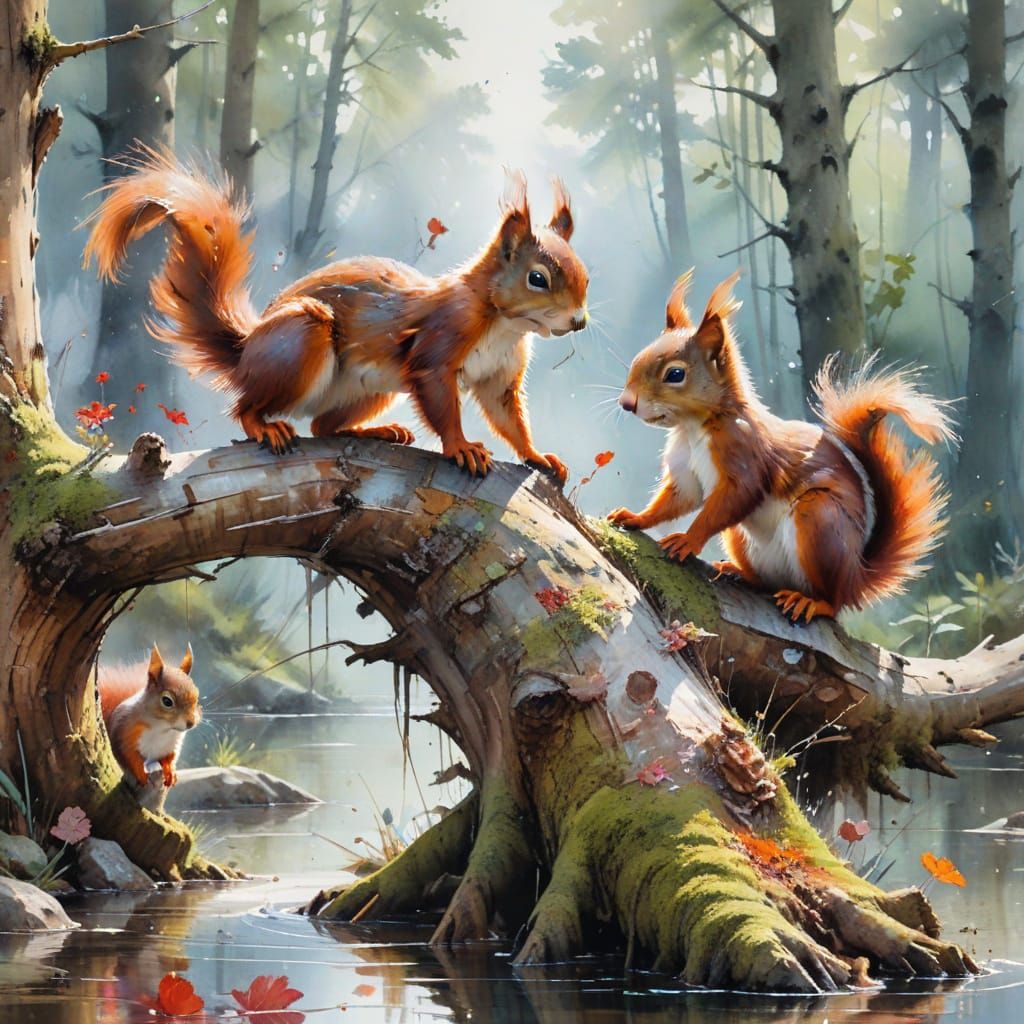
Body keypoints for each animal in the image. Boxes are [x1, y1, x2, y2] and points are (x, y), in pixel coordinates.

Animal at [84, 150, 590, 482]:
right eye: (538, 278)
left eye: (585, 275)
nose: (579, 322)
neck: (506, 324)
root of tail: (246, 351)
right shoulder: (438, 344)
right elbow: (441, 402)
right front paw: (461, 446)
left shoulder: (500, 376)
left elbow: (509, 418)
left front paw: (537, 455)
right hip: (300, 339)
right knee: (247, 407)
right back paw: (265, 427)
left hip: (373, 388)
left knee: (324, 426)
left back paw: (379, 431)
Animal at [99, 644, 201, 790]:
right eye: (167, 701)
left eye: (197, 696)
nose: (191, 723)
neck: (162, 727)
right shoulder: (124, 734)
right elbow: (130, 756)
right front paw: (141, 774)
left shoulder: (173, 745)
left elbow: (169, 758)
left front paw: (171, 771)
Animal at [607, 270, 954, 623]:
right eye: (637, 359)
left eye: (675, 374)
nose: (627, 403)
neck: (694, 428)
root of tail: (855, 579)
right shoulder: (685, 470)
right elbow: (678, 499)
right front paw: (635, 517)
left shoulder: (744, 453)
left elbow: (738, 495)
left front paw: (687, 539)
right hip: (742, 538)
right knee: (766, 581)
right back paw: (738, 571)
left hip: (820, 521)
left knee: (832, 602)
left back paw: (811, 602)